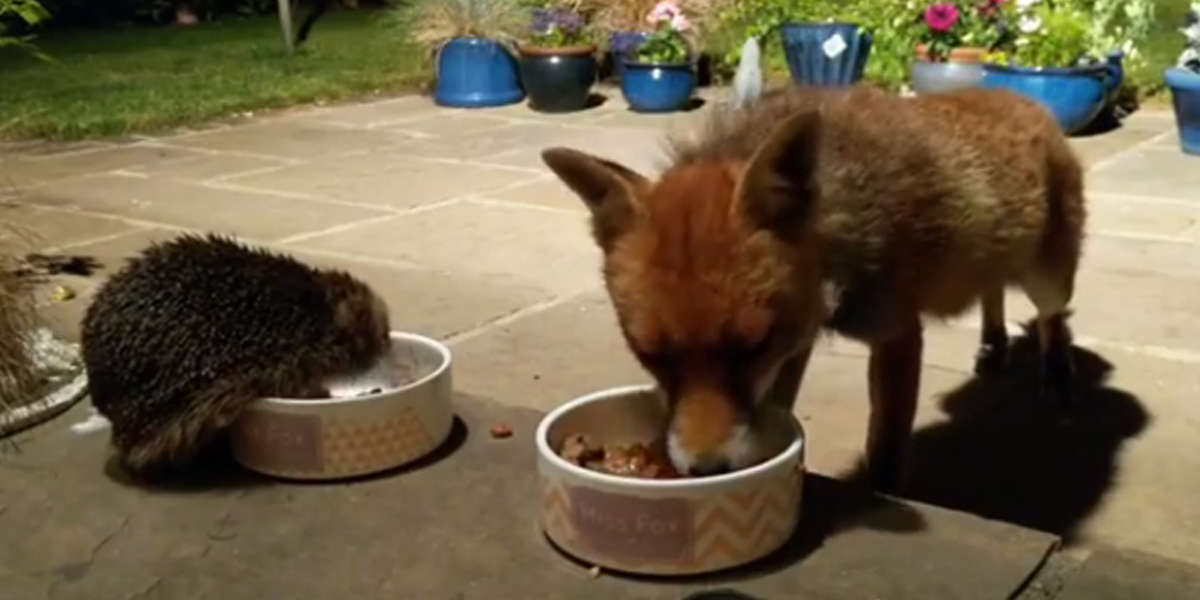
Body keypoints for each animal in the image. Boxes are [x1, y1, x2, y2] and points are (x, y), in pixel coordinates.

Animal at [541, 64, 1085, 492]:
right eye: (651, 356)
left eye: (753, 346)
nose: (705, 469)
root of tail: (1021, 96)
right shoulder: (796, 340)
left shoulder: (895, 334)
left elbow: (886, 448)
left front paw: (880, 493)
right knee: (994, 292)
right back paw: (993, 346)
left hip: (1047, 276)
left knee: (1054, 318)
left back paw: (1059, 377)